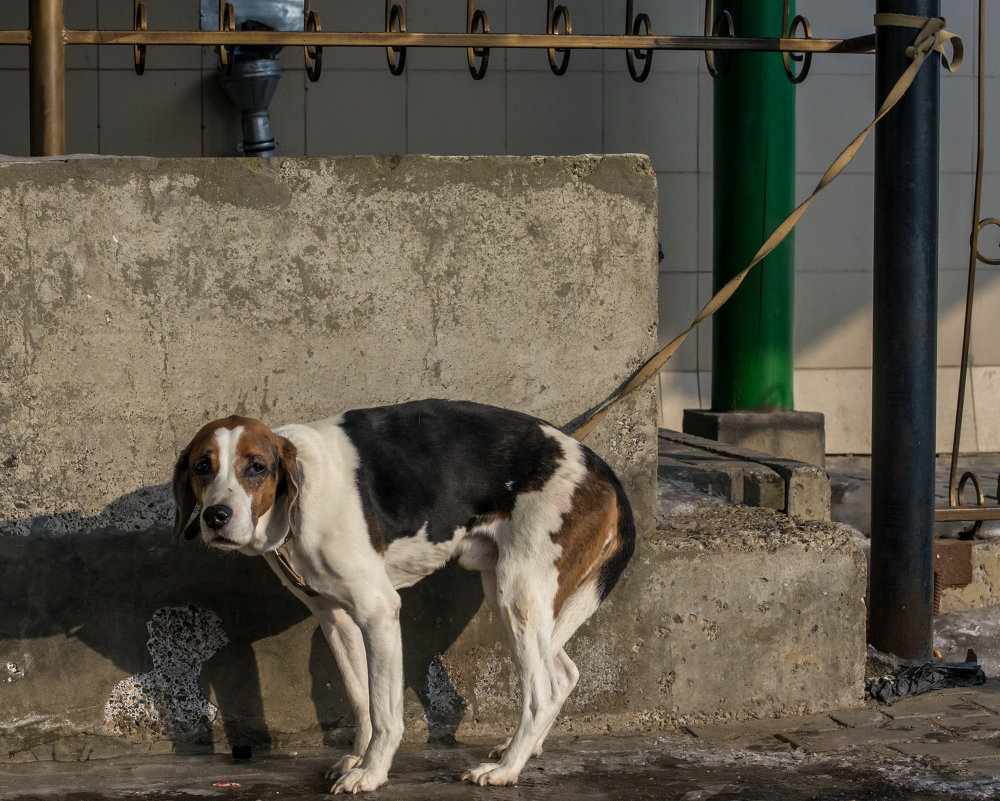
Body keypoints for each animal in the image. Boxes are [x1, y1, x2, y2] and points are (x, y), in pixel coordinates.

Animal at [171, 400, 632, 792]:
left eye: (256, 467)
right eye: (201, 466)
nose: (216, 517)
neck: (300, 493)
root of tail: (601, 469)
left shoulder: (379, 613)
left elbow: (384, 710)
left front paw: (371, 773)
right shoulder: (336, 619)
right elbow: (360, 699)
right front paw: (357, 759)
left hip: (517, 592)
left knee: (543, 690)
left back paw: (505, 769)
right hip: (510, 592)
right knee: (564, 673)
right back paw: (522, 748)